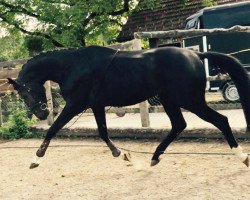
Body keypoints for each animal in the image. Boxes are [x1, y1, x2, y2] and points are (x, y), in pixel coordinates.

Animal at [8, 45, 250, 167]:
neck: (72, 66)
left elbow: (53, 129)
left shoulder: (74, 106)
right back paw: (155, 157)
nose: (40, 113)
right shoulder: (96, 106)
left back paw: (242, 157)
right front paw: (122, 154)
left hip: (189, 100)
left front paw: (35, 159)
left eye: (24, 91)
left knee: (221, 120)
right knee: (178, 125)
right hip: (170, 100)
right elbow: (103, 132)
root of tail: (195, 54)